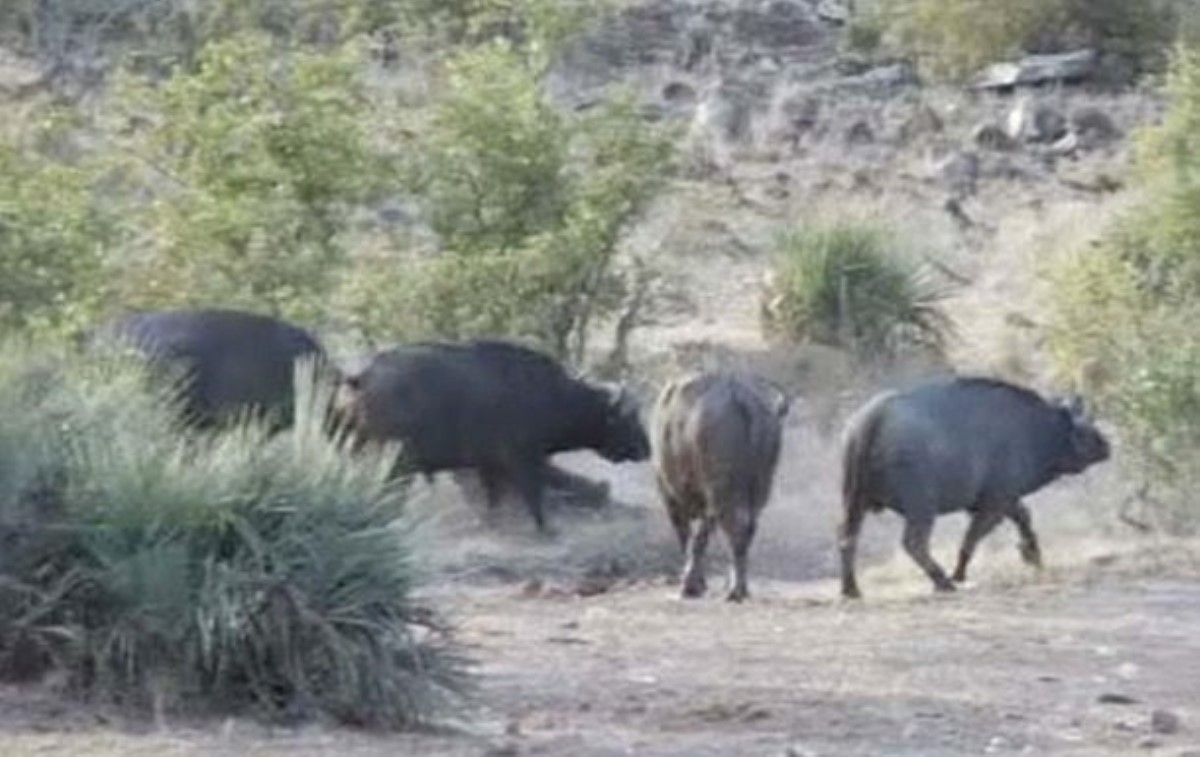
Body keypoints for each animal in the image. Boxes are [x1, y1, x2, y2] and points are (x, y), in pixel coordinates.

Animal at [333, 340, 652, 535]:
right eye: (628, 418)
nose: (647, 449)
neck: (554, 396)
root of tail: (363, 376)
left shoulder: (490, 466)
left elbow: (494, 499)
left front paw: (494, 526)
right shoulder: (523, 461)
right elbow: (533, 495)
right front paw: (545, 530)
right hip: (398, 461)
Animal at [652, 374, 792, 604]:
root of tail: (743, 400)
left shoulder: (670, 495)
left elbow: (689, 536)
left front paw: (691, 584)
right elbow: (700, 537)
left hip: (721, 489)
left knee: (734, 527)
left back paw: (735, 590)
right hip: (759, 487)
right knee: (748, 529)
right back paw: (739, 587)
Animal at [840, 376, 1108, 602]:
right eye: (1084, 430)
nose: (1107, 446)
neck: (1035, 429)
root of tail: (872, 420)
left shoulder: (1005, 500)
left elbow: (1024, 519)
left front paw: (1033, 556)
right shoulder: (994, 503)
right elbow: (972, 538)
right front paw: (958, 573)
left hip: (854, 502)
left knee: (847, 539)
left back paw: (851, 589)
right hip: (922, 506)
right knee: (914, 543)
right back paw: (942, 581)